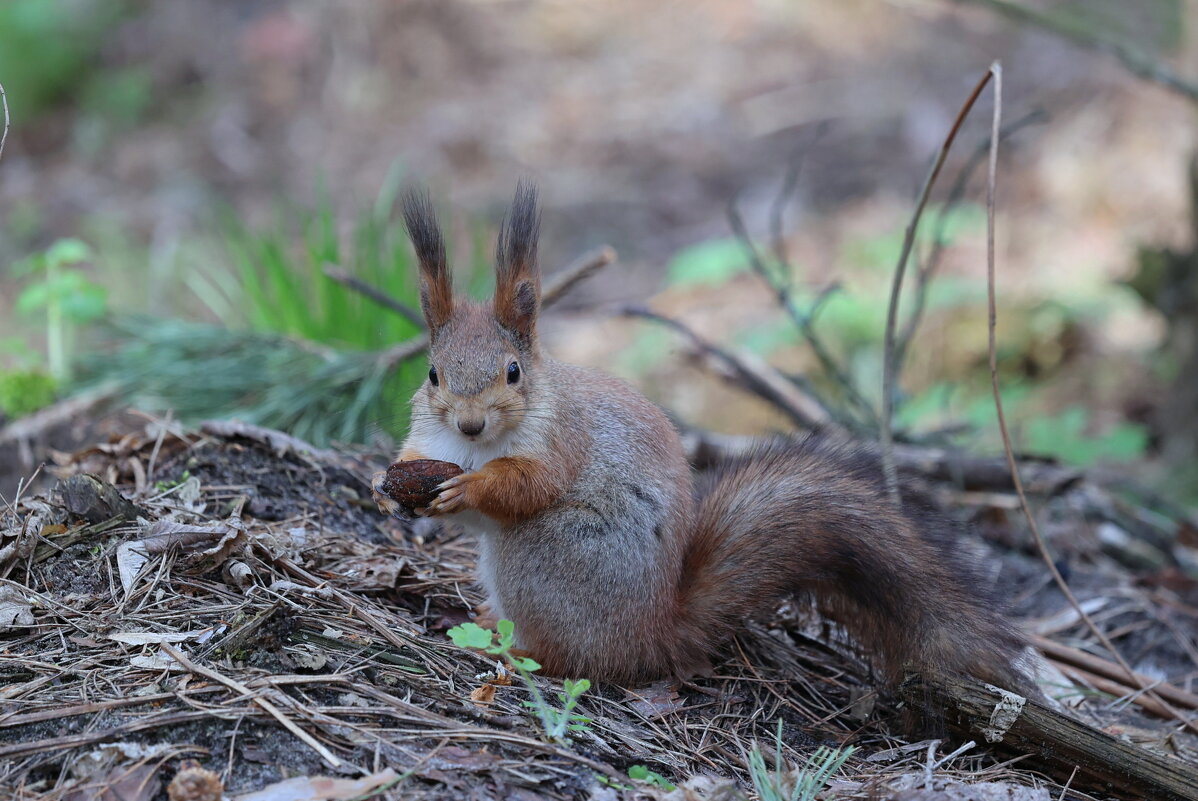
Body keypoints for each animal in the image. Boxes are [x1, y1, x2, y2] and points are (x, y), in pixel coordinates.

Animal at [378, 180, 1035, 694]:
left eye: (513, 372)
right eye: (433, 374)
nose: (469, 423)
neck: (475, 447)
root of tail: (653, 634)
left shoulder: (562, 437)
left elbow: (528, 486)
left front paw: (470, 489)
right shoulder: (433, 438)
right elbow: (417, 459)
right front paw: (390, 489)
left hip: (546, 558)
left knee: (569, 657)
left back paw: (510, 648)